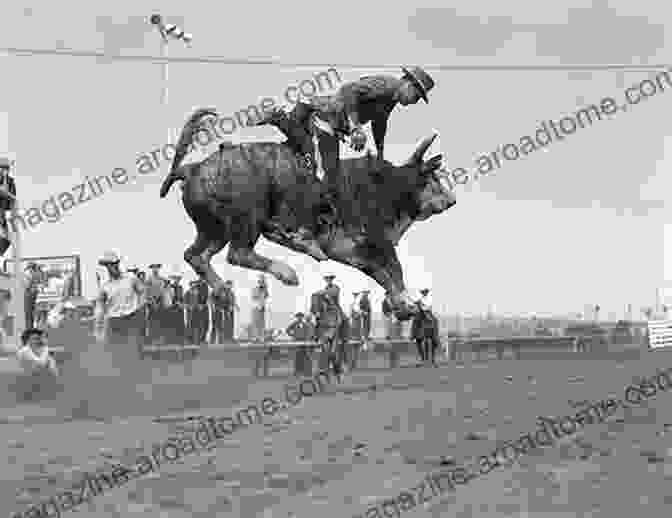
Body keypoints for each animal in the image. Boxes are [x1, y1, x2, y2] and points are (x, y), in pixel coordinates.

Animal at [159, 109, 454, 320]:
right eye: (432, 177)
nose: (451, 200)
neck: (387, 186)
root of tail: (193, 169)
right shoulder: (376, 242)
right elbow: (395, 270)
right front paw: (408, 303)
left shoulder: (357, 254)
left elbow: (384, 277)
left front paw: (404, 306)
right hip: (248, 218)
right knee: (238, 253)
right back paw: (286, 272)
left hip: (213, 229)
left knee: (196, 255)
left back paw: (221, 289)